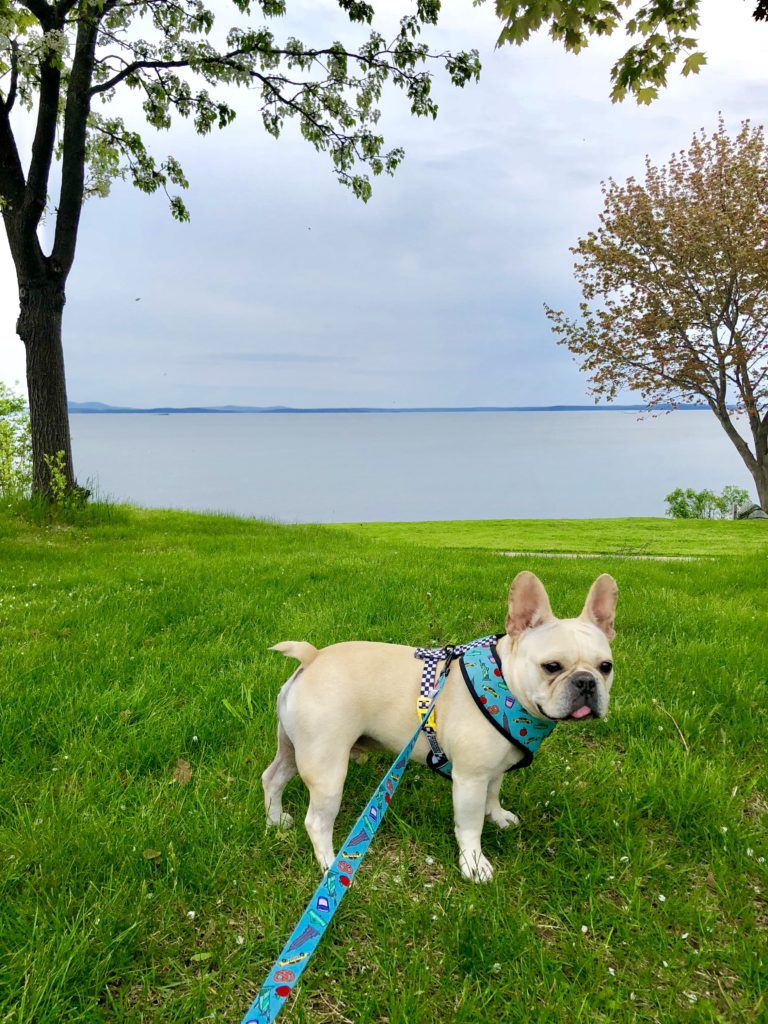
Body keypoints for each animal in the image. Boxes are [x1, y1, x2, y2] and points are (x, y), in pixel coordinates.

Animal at [262, 573, 618, 884]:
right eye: (552, 667)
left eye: (606, 667)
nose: (586, 682)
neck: (505, 683)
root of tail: (313, 657)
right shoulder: (470, 779)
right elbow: (471, 825)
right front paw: (474, 864)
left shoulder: (493, 768)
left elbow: (493, 794)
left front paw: (498, 817)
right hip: (326, 766)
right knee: (316, 821)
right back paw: (330, 864)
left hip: (294, 748)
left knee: (273, 778)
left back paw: (275, 820)